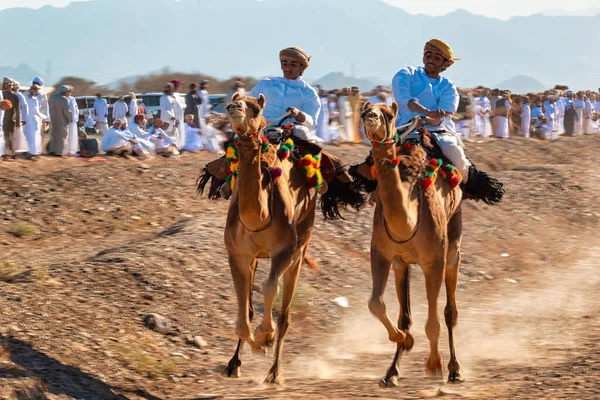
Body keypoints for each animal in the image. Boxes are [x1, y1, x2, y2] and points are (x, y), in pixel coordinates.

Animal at [216, 94, 318, 384]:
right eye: (233, 101)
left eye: (255, 108)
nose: (233, 108)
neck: (259, 217)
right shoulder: (238, 254)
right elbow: (243, 315)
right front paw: (245, 354)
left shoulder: (284, 250)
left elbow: (270, 288)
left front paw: (265, 336)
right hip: (257, 257)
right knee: (251, 307)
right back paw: (236, 362)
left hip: (301, 243)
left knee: (286, 313)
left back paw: (275, 373)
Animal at [360, 102, 464, 388]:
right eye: (365, 110)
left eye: (388, 114)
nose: (370, 117)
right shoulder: (383, 254)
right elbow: (378, 305)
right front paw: (402, 348)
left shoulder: (433, 261)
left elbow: (434, 322)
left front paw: (435, 365)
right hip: (402, 264)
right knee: (405, 315)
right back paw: (393, 369)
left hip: (453, 240)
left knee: (450, 311)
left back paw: (454, 369)